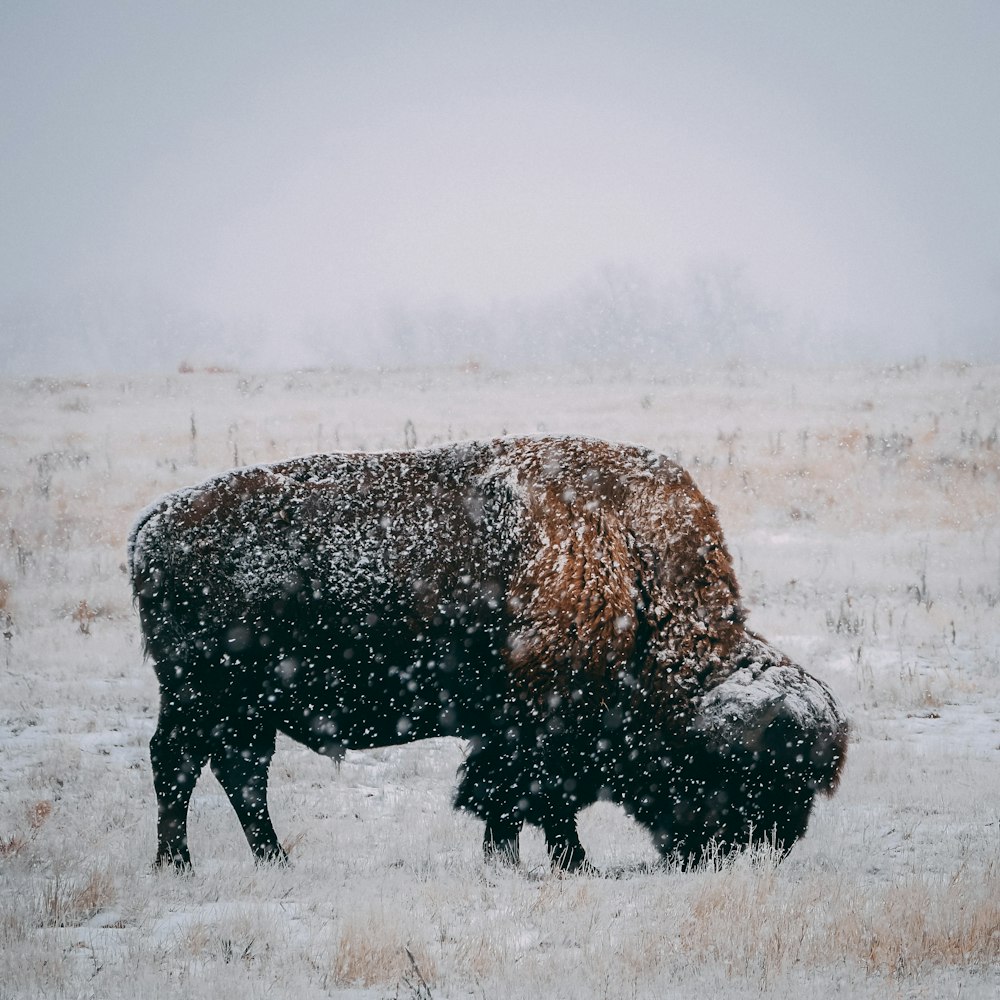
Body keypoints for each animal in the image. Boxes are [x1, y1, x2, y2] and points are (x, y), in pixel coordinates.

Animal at [127, 434, 844, 872]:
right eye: (750, 775)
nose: (761, 847)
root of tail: (155, 525)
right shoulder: (538, 727)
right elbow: (531, 799)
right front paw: (565, 863)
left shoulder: (517, 730)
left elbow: (515, 801)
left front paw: (516, 859)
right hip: (200, 695)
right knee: (180, 766)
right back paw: (178, 866)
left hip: (242, 708)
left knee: (238, 773)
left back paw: (272, 860)